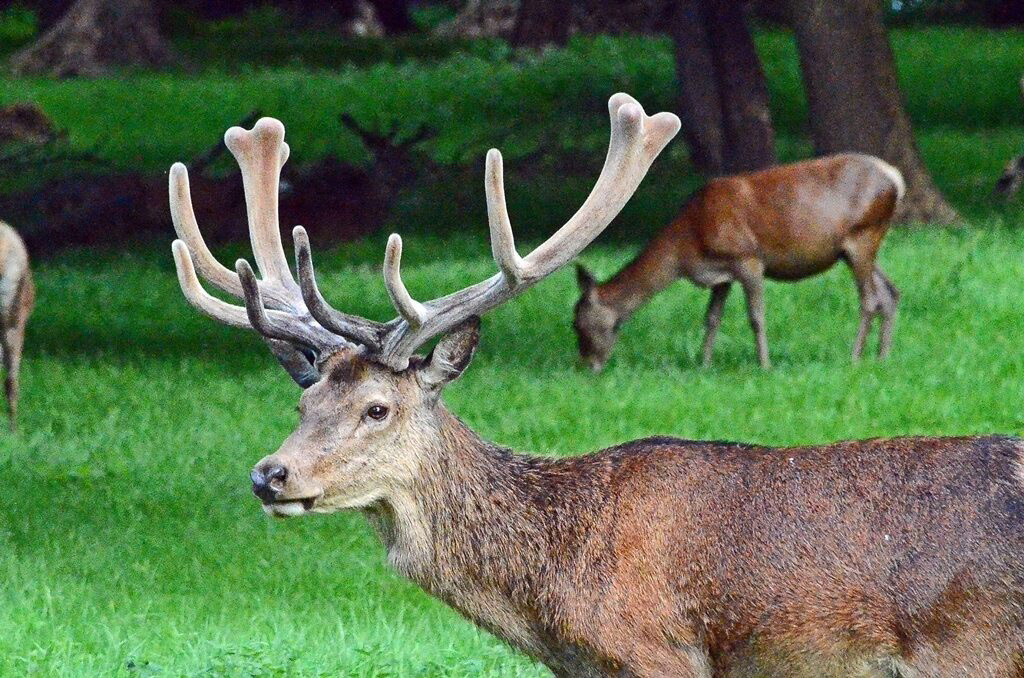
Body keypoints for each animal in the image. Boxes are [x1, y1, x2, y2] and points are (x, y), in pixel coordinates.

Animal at [577, 155, 905, 372]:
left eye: (577, 323)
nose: (588, 365)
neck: (687, 246)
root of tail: (896, 179)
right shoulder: (722, 274)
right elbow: (711, 318)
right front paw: (704, 364)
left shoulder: (748, 258)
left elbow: (756, 316)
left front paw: (765, 366)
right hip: (856, 248)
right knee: (890, 292)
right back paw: (882, 356)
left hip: (862, 235)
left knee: (870, 299)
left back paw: (855, 357)